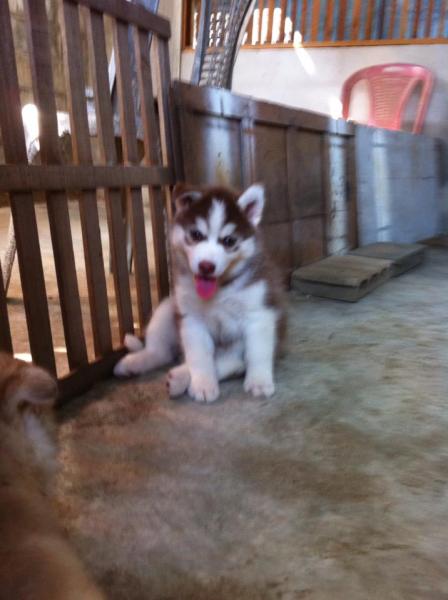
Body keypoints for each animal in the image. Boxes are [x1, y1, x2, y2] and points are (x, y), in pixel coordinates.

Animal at [114, 182, 286, 403]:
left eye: (229, 241)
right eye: (196, 235)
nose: (206, 266)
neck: (220, 289)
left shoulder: (260, 314)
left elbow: (258, 353)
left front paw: (259, 381)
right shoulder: (191, 319)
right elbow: (200, 356)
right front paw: (203, 383)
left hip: (235, 346)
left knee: (231, 363)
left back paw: (178, 378)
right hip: (167, 308)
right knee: (160, 352)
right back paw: (134, 363)